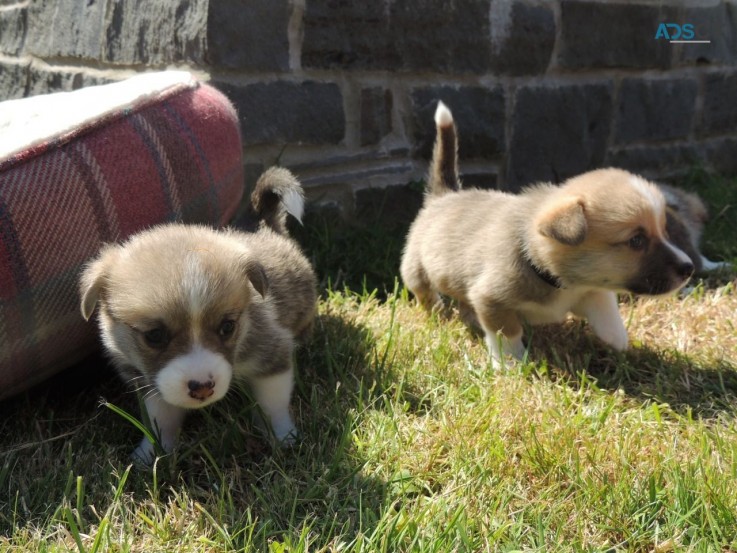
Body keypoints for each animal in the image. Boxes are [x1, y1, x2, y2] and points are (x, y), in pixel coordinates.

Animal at [80, 167, 316, 462]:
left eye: (227, 327)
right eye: (154, 335)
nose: (203, 387)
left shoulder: (272, 355)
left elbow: (273, 405)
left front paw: (284, 438)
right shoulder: (150, 383)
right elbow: (161, 419)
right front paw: (151, 455)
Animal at [402, 101, 696, 364]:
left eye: (663, 230)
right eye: (636, 240)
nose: (689, 268)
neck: (544, 268)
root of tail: (444, 195)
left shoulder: (587, 289)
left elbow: (605, 304)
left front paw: (618, 339)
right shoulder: (491, 298)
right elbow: (507, 332)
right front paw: (511, 363)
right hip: (416, 270)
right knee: (425, 292)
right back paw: (438, 313)